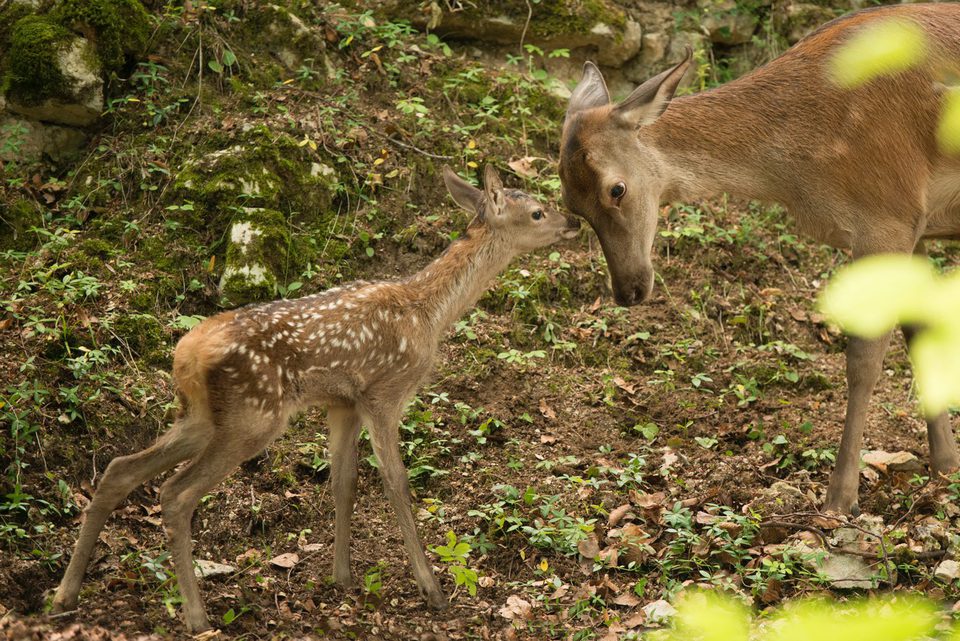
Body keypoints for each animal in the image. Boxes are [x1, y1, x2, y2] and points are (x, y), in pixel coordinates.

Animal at [50, 165, 576, 632]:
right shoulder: (385, 392)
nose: (572, 220)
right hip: (253, 415)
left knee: (120, 469)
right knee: (175, 493)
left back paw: (64, 595)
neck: (428, 311)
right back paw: (196, 618)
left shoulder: (343, 403)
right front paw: (432, 590)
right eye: (537, 211)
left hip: (202, 415)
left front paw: (342, 577)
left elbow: (343, 482)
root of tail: (186, 354)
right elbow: (396, 483)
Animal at [560, 3, 960, 516]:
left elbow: (864, 359)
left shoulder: (888, 212)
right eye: (571, 206)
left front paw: (840, 497)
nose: (628, 290)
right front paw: (945, 466)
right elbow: (920, 331)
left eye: (617, 189)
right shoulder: (916, 224)